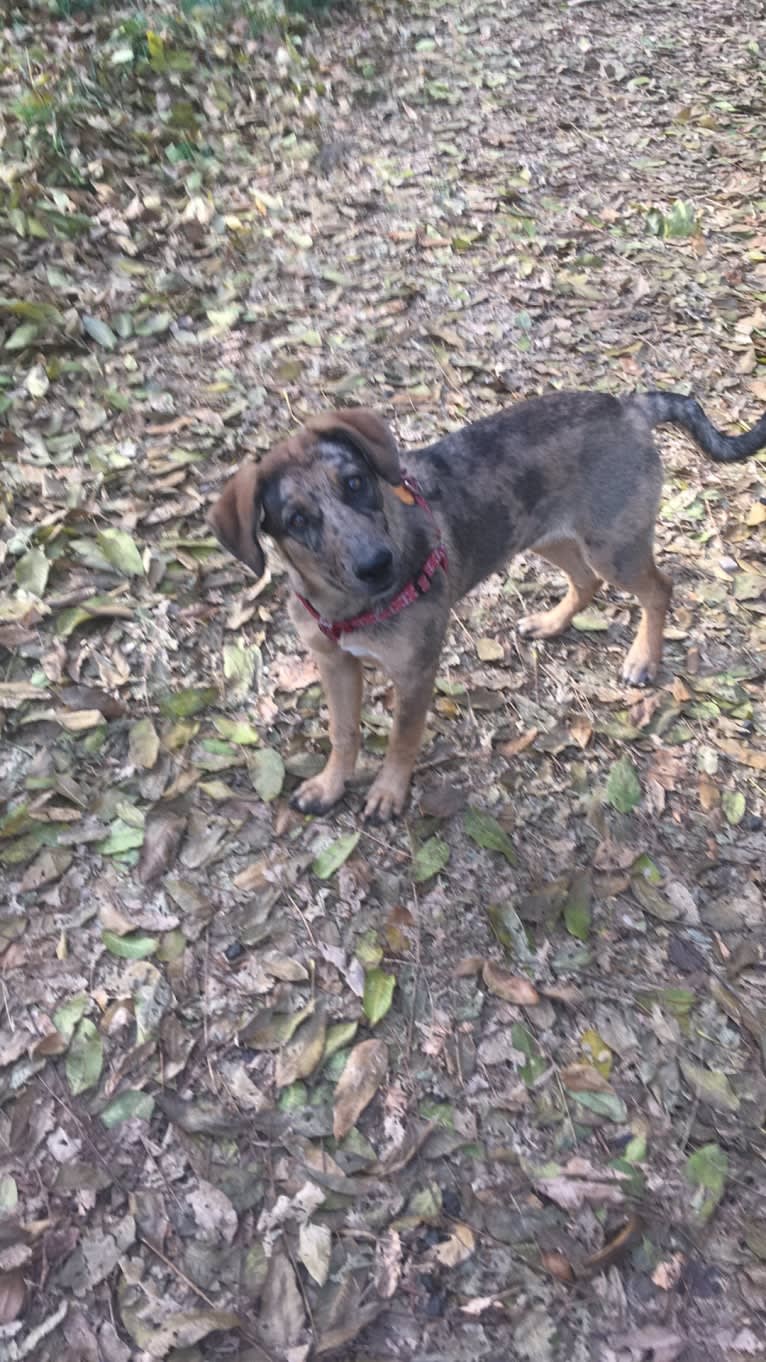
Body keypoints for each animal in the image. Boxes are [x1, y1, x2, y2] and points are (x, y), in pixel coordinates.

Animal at [208, 392, 763, 817]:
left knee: (659, 588)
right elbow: (343, 731)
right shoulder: (334, 664)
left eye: (355, 483)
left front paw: (388, 792)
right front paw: (330, 784)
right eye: (297, 520)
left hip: (614, 547)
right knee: (585, 582)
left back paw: (644, 657)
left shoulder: (415, 672)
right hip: (543, 535)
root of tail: (627, 406)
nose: (378, 565)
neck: (347, 607)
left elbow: (402, 736)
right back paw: (551, 622)